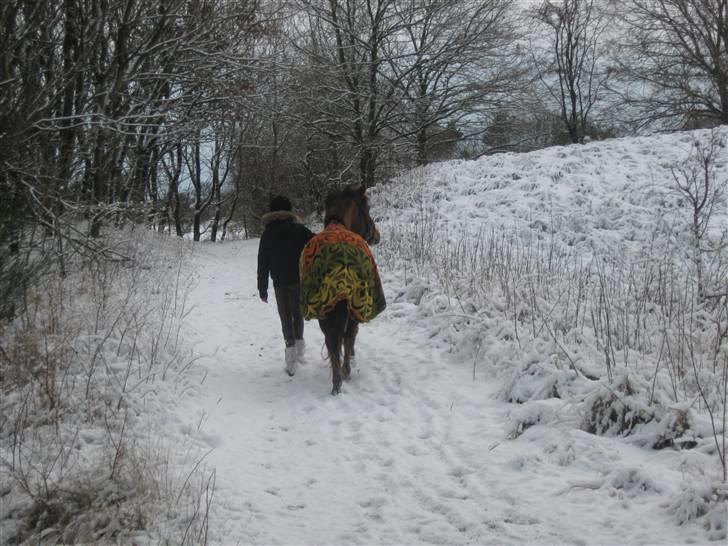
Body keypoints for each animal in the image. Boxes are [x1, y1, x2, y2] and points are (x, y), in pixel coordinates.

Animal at [299, 185, 386, 395]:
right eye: (367, 207)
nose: (376, 235)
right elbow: (349, 339)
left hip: (325, 309)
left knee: (332, 342)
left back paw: (337, 380)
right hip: (350, 307)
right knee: (346, 337)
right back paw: (343, 374)